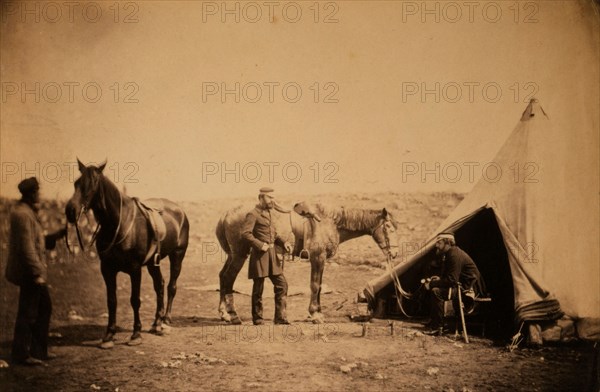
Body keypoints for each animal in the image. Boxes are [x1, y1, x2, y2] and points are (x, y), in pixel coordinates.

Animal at [64, 158, 189, 348]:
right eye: (76, 183)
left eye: (92, 184)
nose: (70, 211)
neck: (118, 223)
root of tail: (180, 211)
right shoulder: (107, 269)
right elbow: (111, 301)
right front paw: (109, 335)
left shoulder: (135, 269)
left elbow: (135, 300)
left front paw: (136, 334)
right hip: (153, 263)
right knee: (159, 285)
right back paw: (156, 323)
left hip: (177, 256)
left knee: (171, 286)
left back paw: (165, 320)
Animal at [217, 201, 398, 324]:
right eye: (388, 227)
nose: (395, 253)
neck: (329, 222)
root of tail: (226, 214)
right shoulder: (317, 258)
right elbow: (315, 286)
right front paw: (315, 314)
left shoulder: (321, 260)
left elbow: (319, 286)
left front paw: (318, 312)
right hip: (239, 255)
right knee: (229, 278)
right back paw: (232, 315)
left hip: (232, 255)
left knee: (222, 277)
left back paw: (224, 313)